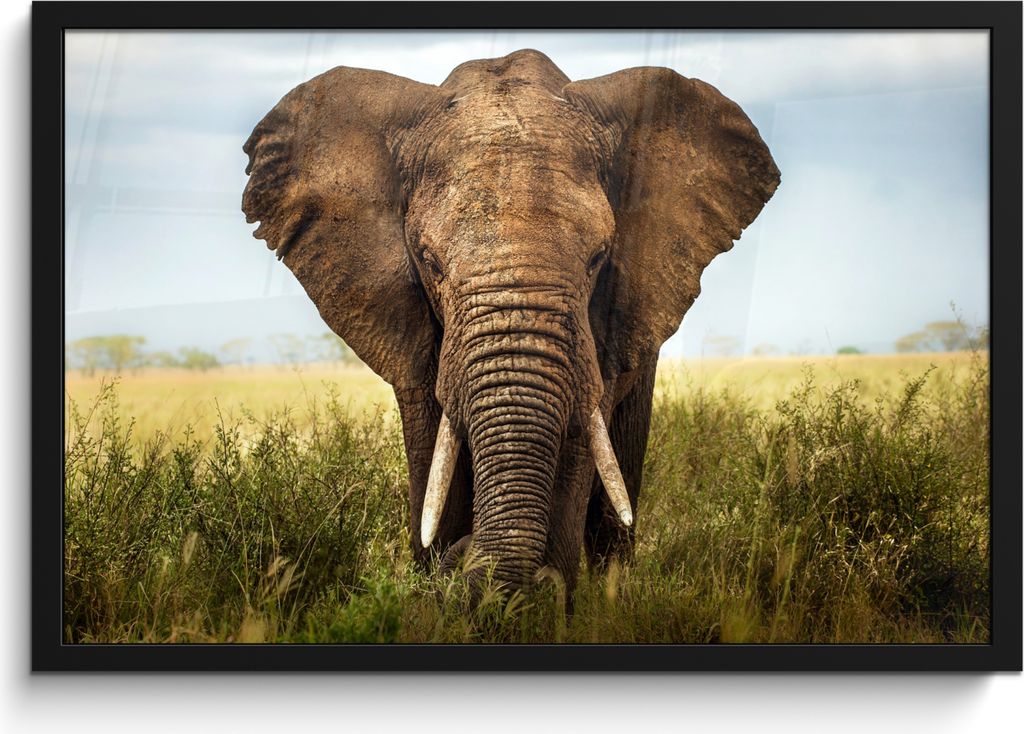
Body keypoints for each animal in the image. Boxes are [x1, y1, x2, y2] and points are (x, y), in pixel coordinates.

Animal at [242, 49, 779, 599]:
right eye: (430, 262)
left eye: (598, 258)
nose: (463, 559)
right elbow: (432, 452)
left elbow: (577, 444)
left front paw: (540, 600)